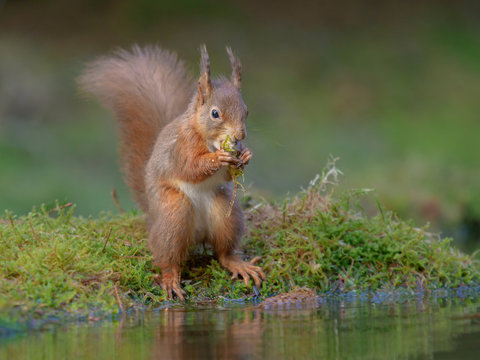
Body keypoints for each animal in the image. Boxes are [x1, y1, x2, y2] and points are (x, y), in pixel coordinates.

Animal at [79, 45, 266, 298]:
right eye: (214, 113)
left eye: (246, 111)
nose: (239, 136)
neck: (208, 139)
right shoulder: (181, 147)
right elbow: (189, 167)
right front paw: (217, 158)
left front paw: (245, 156)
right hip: (173, 211)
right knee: (167, 257)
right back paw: (170, 279)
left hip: (226, 211)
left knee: (223, 252)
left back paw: (238, 264)